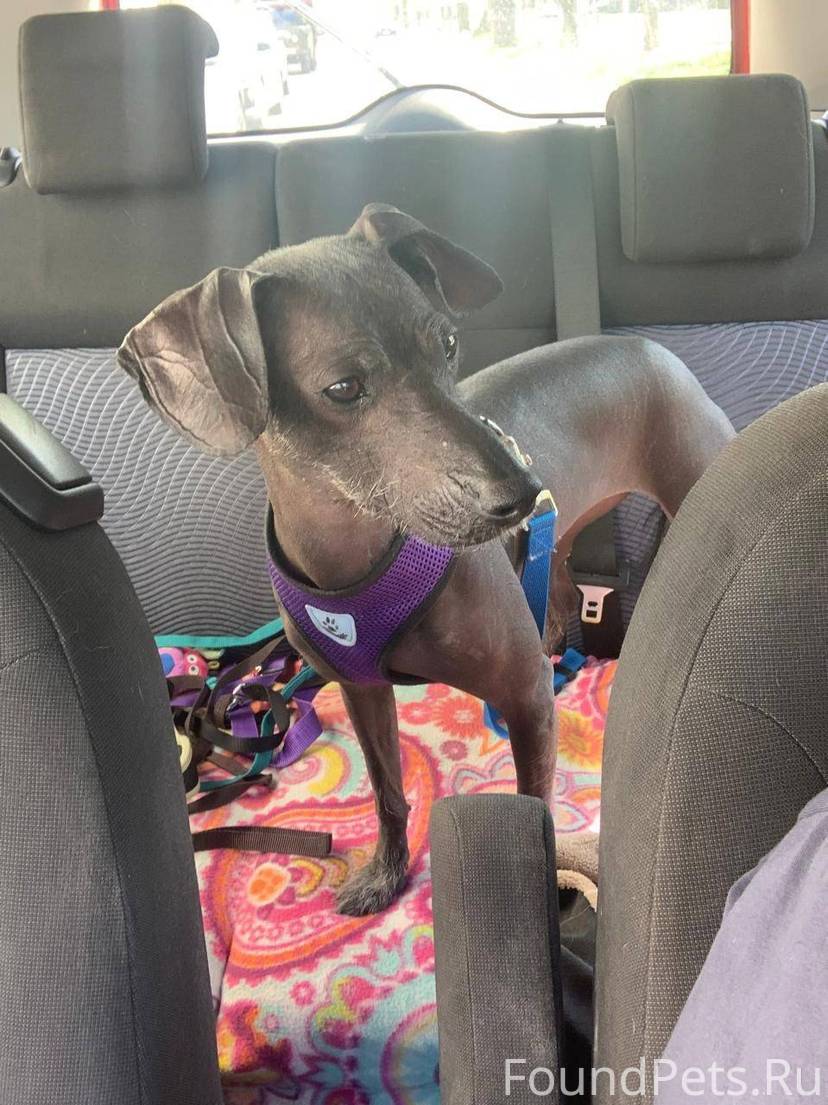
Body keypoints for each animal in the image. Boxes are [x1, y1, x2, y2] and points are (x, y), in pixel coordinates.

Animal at [118, 203, 734, 915]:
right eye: (344, 387)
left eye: (448, 345)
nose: (520, 492)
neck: (360, 555)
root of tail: (651, 347)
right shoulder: (361, 688)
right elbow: (386, 791)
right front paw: (386, 872)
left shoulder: (523, 697)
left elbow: (533, 805)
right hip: (557, 542)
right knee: (555, 603)